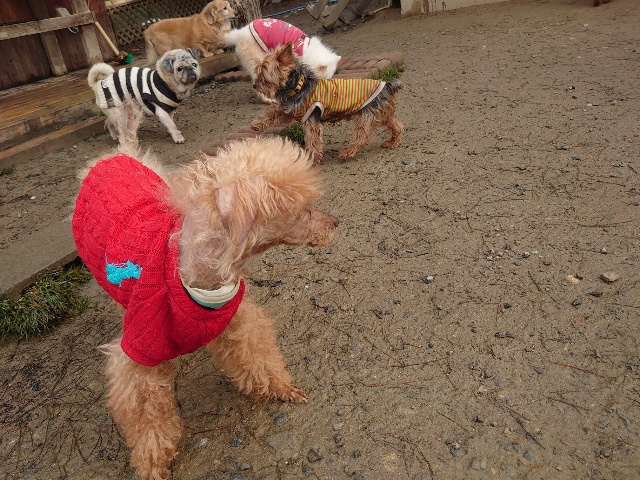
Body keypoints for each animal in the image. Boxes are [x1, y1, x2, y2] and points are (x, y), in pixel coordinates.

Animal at [71, 105, 339, 479]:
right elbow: (148, 417)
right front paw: (153, 465)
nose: (336, 224)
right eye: (303, 210)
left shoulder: (235, 320)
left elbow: (259, 357)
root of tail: (118, 152)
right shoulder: (139, 355)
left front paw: (281, 389)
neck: (198, 273)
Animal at [250, 42, 404, 163]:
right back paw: (392, 142)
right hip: (383, 113)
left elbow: (312, 140)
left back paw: (347, 151)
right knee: (397, 126)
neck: (298, 86)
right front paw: (257, 125)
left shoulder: (310, 119)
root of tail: (386, 85)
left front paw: (312, 159)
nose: (254, 85)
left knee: (362, 136)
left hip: (366, 115)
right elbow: (273, 114)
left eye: (263, 74)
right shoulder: (290, 111)